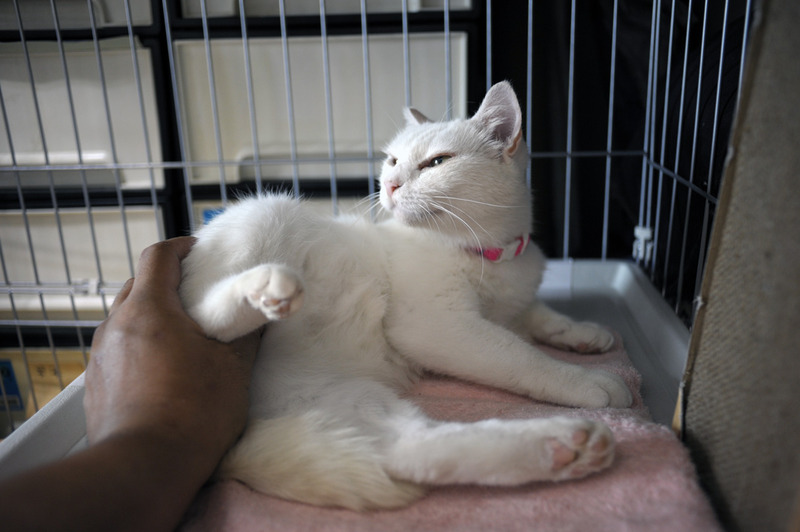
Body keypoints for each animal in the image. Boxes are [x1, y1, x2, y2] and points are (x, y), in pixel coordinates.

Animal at [179, 81, 633, 511]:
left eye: (437, 162)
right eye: (393, 160)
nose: (390, 184)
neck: (491, 255)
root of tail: (240, 439)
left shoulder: (513, 300)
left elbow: (539, 314)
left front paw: (583, 333)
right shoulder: (439, 325)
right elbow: (521, 356)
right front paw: (584, 380)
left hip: (352, 402)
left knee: (415, 449)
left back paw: (563, 446)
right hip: (266, 214)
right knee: (203, 318)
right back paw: (268, 288)